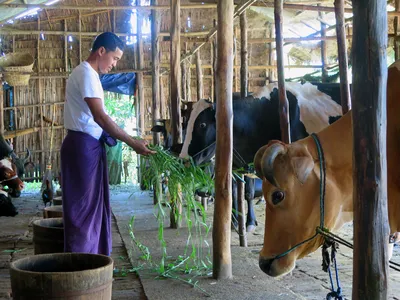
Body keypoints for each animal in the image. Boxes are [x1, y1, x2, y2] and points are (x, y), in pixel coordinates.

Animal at [179, 81, 344, 231]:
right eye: (185, 123)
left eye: (202, 124)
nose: (183, 160)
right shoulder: (241, 166)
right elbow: (237, 192)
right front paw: (236, 222)